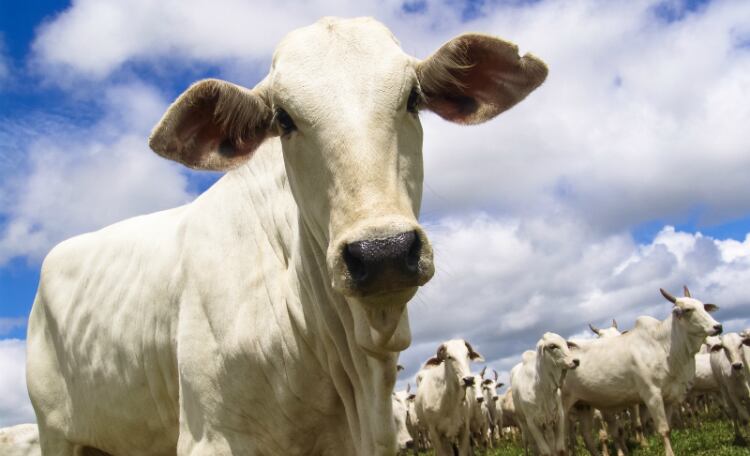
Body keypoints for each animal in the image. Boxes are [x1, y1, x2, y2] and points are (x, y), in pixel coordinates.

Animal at [562, 287, 722, 456]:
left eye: (703, 307)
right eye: (688, 310)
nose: (718, 327)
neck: (664, 346)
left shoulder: (669, 398)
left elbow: (668, 427)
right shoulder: (651, 395)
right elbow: (663, 429)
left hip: (584, 406)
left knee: (587, 436)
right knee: (567, 439)